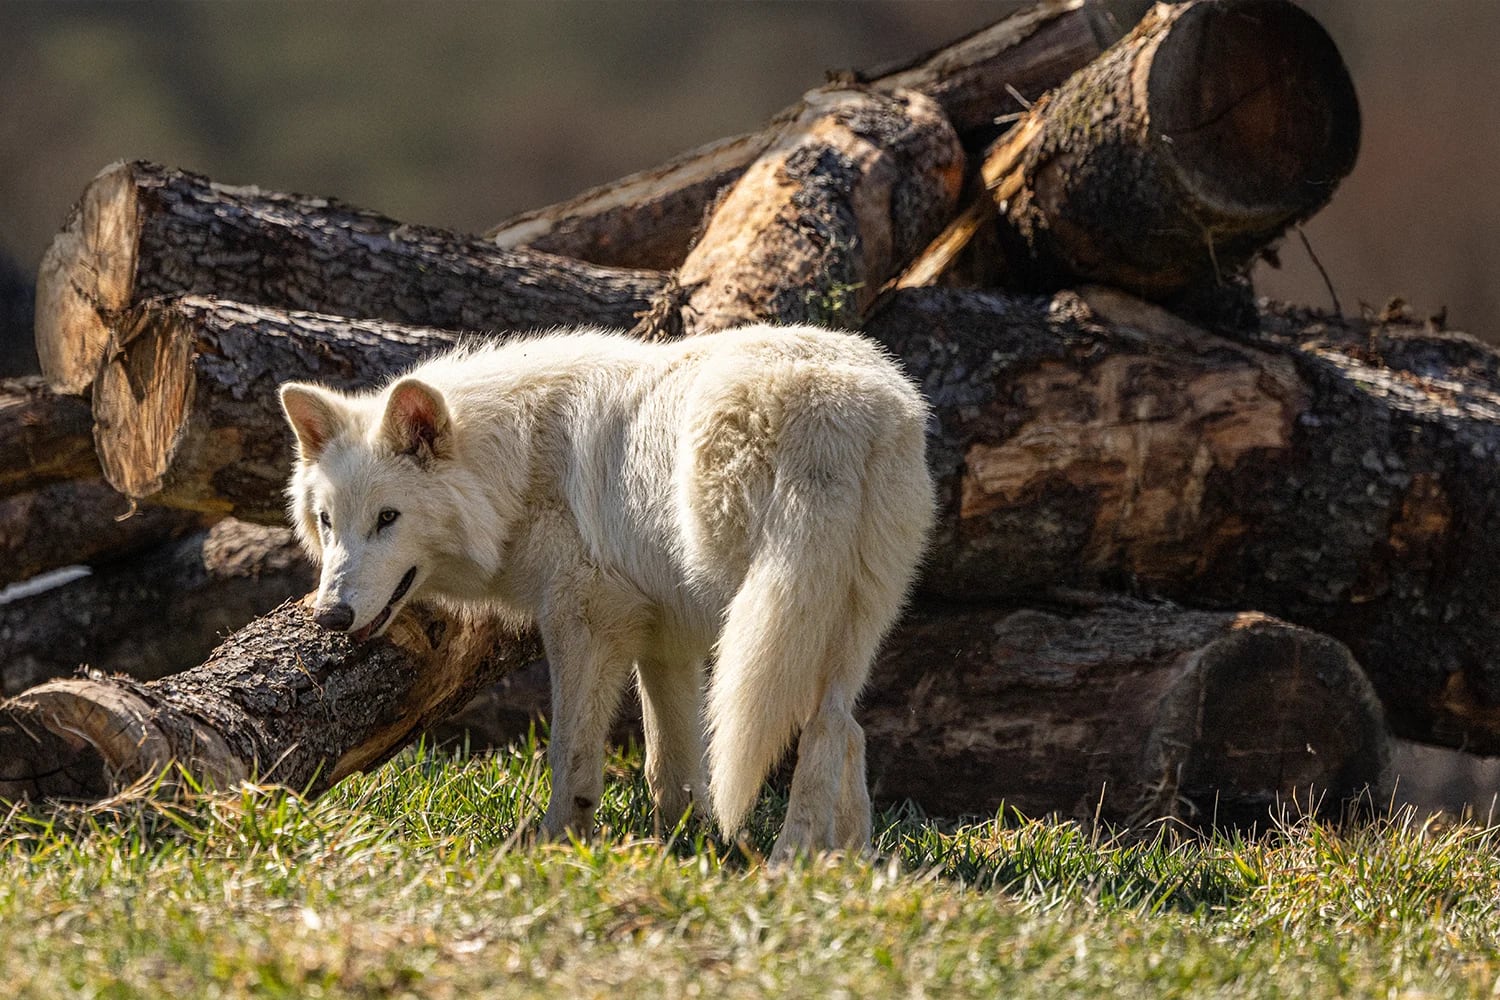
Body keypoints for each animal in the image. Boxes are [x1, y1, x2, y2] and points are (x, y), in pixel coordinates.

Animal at [279, 324, 934, 860]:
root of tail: (837, 410)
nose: (331, 615)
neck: (518, 466)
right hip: (836, 626)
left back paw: (788, 864)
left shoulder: (587, 623)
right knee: (840, 727)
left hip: (759, 623)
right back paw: (844, 863)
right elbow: (670, 767)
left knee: (818, 729)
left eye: (388, 518)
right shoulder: (666, 641)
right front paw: (682, 848)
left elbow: (571, 755)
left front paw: (554, 845)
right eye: (328, 521)